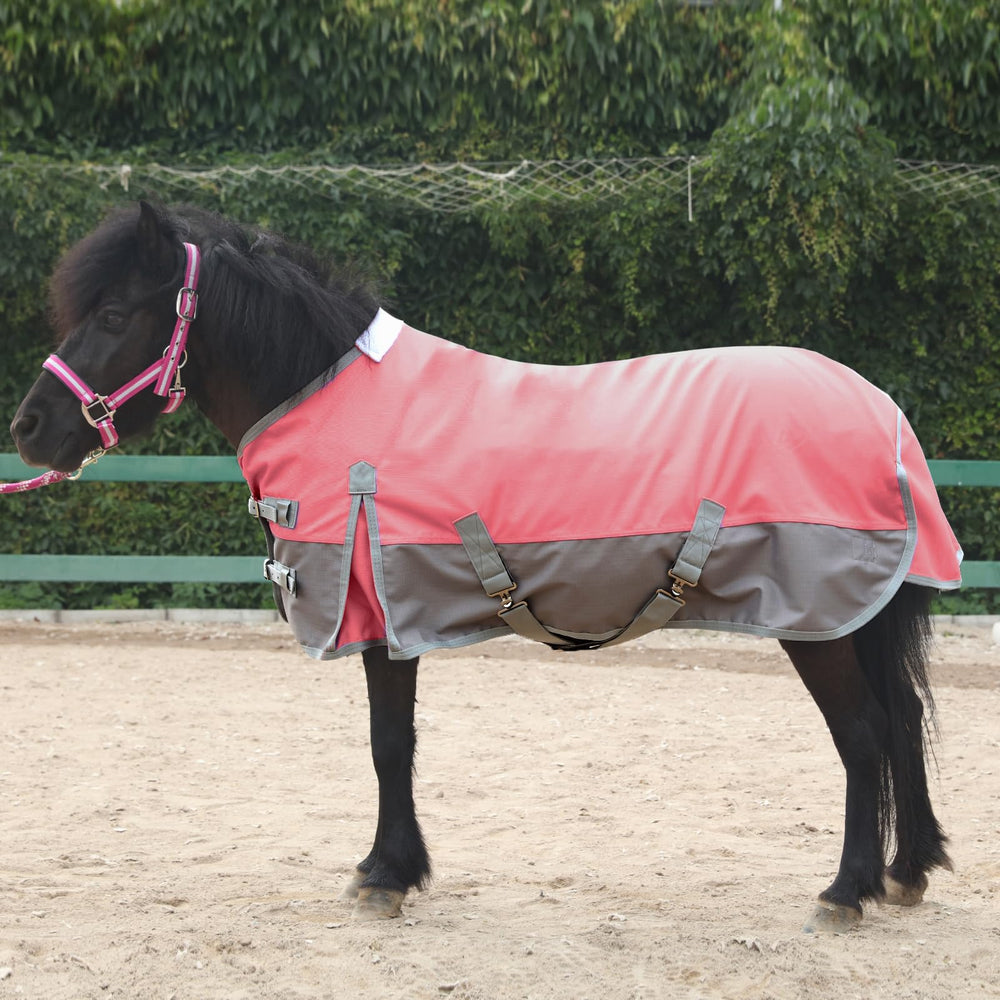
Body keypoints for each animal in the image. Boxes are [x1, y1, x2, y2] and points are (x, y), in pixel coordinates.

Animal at [9, 201, 959, 932]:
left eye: (115, 314)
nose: (28, 429)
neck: (330, 397)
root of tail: (881, 411)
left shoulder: (378, 616)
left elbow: (388, 743)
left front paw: (386, 876)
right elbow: (396, 742)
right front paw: (392, 868)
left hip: (816, 617)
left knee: (862, 733)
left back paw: (846, 892)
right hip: (854, 614)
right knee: (902, 719)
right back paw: (907, 872)